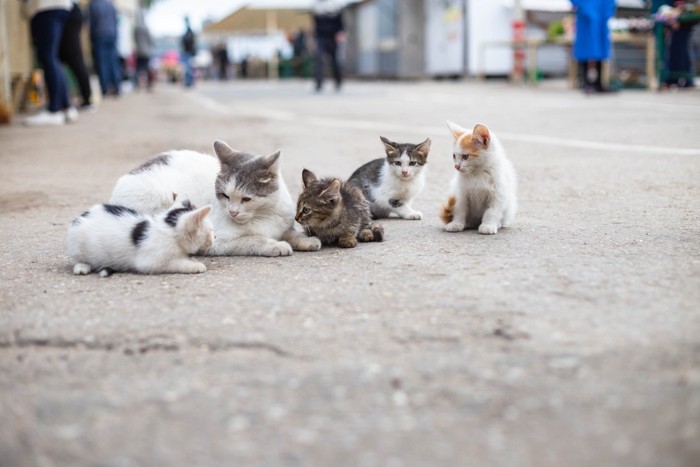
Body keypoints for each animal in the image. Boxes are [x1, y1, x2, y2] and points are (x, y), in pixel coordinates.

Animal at [67, 198, 213, 278]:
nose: (215, 236)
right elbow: (175, 263)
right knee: (78, 259)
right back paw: (82, 267)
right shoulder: (150, 262)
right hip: (76, 242)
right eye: (211, 230)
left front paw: (191, 260)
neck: (168, 231)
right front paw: (194, 265)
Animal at [108, 141, 320, 258]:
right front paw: (274, 245)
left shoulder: (283, 224)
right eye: (225, 195)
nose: (232, 212)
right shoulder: (216, 240)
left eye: (246, 199)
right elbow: (251, 239)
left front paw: (306, 240)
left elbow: (291, 233)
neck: (263, 215)